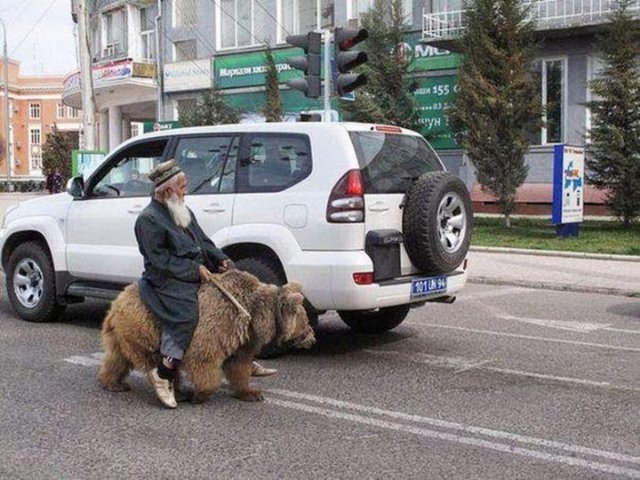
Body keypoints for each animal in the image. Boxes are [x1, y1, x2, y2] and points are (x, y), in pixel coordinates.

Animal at [97, 270, 316, 404]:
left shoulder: (243, 339)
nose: (313, 338)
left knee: (117, 358)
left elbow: (238, 365)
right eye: (306, 322)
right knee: (154, 360)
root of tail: (116, 302)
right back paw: (169, 389)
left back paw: (114, 383)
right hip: (147, 328)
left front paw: (252, 392)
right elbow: (204, 356)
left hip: (122, 333)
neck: (253, 315)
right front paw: (201, 394)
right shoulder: (220, 323)